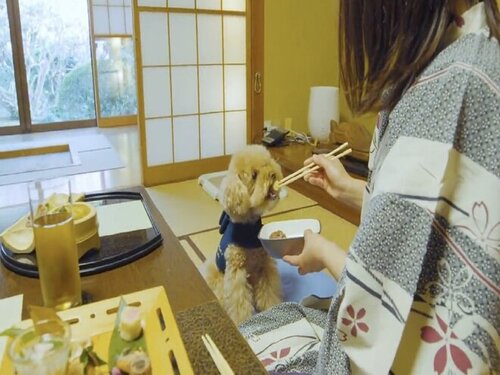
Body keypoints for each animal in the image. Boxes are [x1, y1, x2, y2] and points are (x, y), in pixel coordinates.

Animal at [201, 145, 284, 326]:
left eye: (268, 163)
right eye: (254, 175)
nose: (273, 174)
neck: (249, 228)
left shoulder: (263, 266)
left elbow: (268, 291)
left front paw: (272, 308)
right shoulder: (236, 271)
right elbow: (238, 301)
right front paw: (242, 321)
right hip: (218, 276)